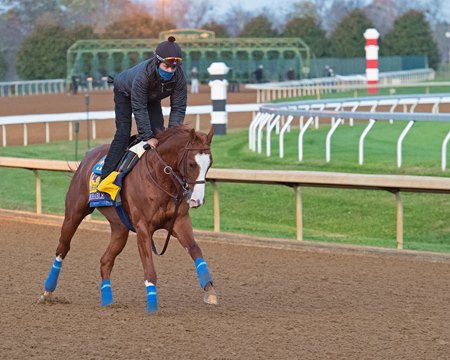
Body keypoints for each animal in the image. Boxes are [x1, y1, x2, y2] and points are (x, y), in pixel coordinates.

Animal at [39, 126, 219, 312]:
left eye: (209, 164)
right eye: (191, 164)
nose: (197, 200)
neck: (160, 178)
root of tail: (88, 157)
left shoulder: (179, 221)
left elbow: (195, 250)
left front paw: (210, 290)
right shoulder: (143, 227)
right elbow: (149, 268)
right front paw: (152, 303)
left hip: (120, 228)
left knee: (105, 260)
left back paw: (107, 299)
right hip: (74, 213)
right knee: (62, 248)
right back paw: (48, 291)